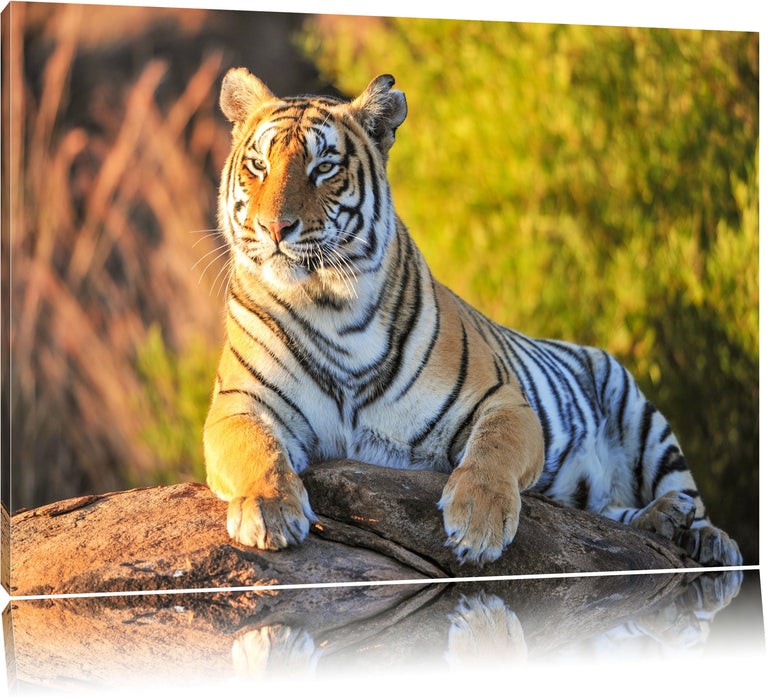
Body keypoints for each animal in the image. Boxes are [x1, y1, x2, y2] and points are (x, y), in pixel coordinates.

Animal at [203, 67, 742, 568]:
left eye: (324, 167)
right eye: (258, 165)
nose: (275, 227)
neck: (329, 305)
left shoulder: (503, 400)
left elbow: (492, 451)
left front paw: (479, 525)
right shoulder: (239, 405)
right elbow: (256, 451)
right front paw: (269, 509)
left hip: (641, 414)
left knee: (685, 495)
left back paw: (703, 535)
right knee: (611, 512)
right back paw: (663, 521)